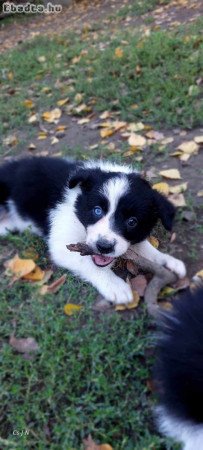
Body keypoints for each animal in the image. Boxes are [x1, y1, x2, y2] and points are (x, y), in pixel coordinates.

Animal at [0, 156, 186, 304]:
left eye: (132, 221)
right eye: (97, 210)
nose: (104, 246)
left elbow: (147, 250)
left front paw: (169, 262)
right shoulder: (62, 242)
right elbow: (88, 263)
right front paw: (115, 286)